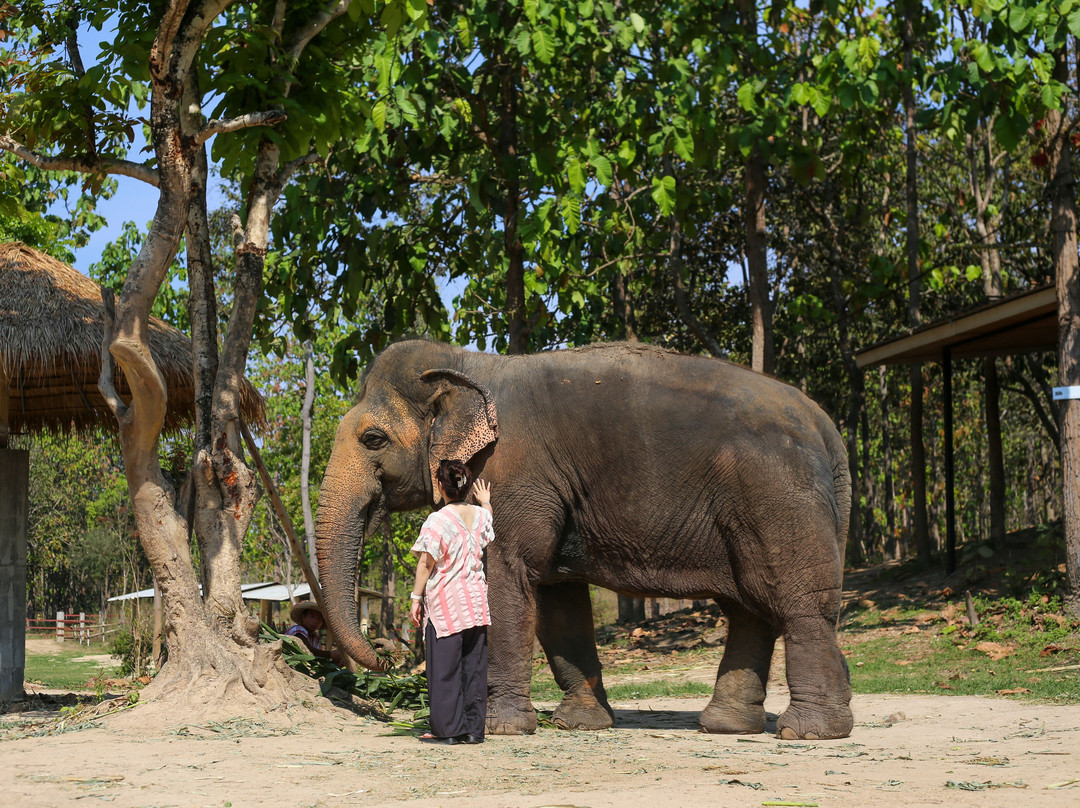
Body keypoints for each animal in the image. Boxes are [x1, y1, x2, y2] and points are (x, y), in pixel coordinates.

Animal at [315, 339, 853, 740]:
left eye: (372, 439)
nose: (386, 648)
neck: (465, 363)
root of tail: (828, 427)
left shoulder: (514, 472)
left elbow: (507, 576)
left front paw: (503, 729)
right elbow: (558, 602)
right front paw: (580, 724)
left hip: (777, 496)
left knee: (797, 603)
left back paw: (809, 732)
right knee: (749, 610)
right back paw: (728, 727)